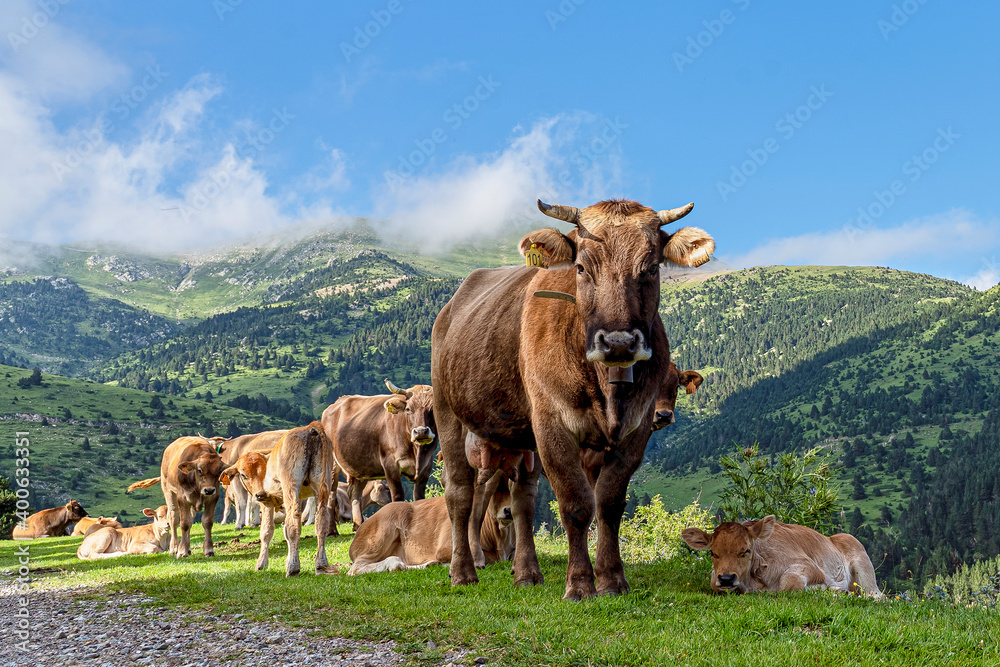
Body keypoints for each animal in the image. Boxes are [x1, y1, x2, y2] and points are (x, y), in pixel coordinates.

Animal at [220, 422, 334, 576]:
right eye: (243, 475)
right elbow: (284, 530)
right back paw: (321, 564)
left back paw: (293, 568)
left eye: (263, 471)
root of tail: (309, 428)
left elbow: (266, 531)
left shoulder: (267, 502)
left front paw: (261, 563)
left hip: (291, 485)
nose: (259, 494)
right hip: (322, 485)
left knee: (294, 522)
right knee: (321, 522)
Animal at [322, 379, 438, 529]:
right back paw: (331, 531)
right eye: (408, 409)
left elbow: (419, 497)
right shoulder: (390, 465)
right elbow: (398, 495)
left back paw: (358, 525)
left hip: (360, 467)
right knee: (331, 493)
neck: (417, 452)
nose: (421, 431)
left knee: (354, 494)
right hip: (332, 463)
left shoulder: (426, 467)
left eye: (433, 408)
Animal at [347, 475, 514, 575]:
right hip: (381, 534)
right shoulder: (446, 547)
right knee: (356, 568)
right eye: (495, 489)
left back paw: (429, 564)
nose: (509, 510)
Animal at [432, 198, 714, 599]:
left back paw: (527, 573)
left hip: (522, 437)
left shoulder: (635, 431)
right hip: (448, 410)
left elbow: (608, 504)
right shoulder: (553, 425)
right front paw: (580, 584)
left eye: (651, 267)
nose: (618, 342)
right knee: (459, 493)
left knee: (523, 499)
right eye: (581, 267)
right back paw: (463, 573)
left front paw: (611, 579)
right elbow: (577, 504)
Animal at [681, 516, 883, 598]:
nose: (727, 578)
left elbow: (789, 583)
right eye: (712, 552)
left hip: (864, 570)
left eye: (746, 550)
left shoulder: (811, 567)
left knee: (877, 595)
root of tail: (834, 537)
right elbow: (713, 584)